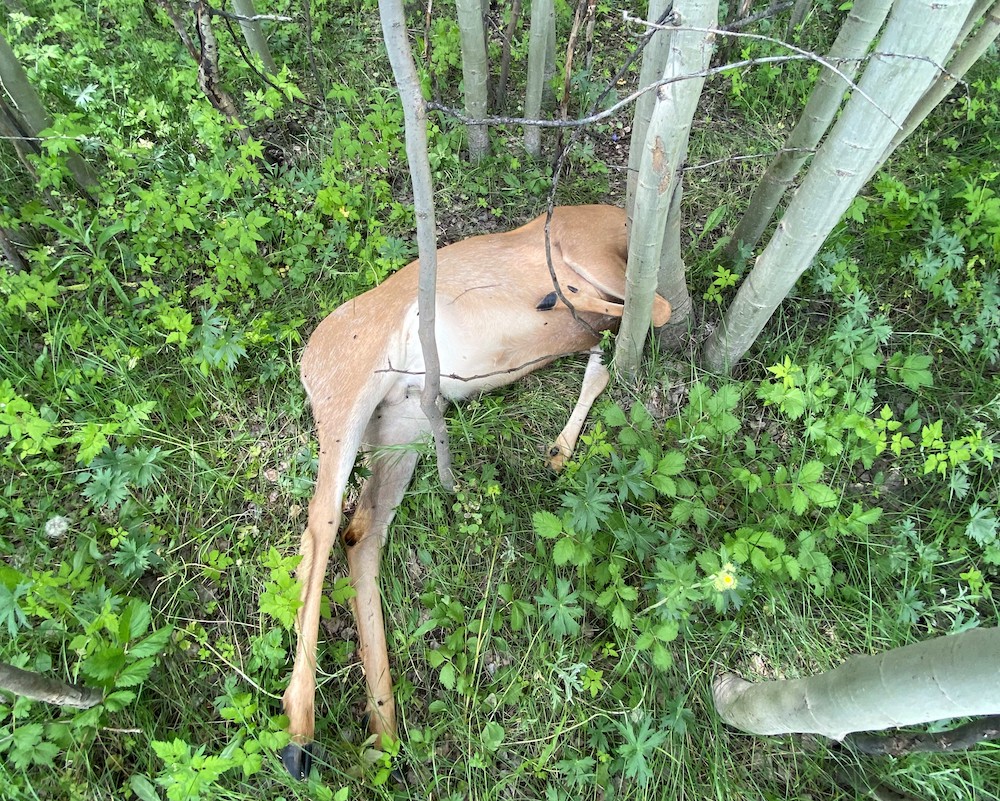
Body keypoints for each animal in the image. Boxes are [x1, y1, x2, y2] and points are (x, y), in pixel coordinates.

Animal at [280, 204, 671, 778]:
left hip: (403, 423)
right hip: (347, 396)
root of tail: (308, 358)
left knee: (361, 531)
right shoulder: (586, 256)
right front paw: (561, 300)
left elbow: (604, 359)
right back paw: (299, 734)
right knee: (319, 527)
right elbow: (650, 308)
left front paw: (558, 453)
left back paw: (384, 729)